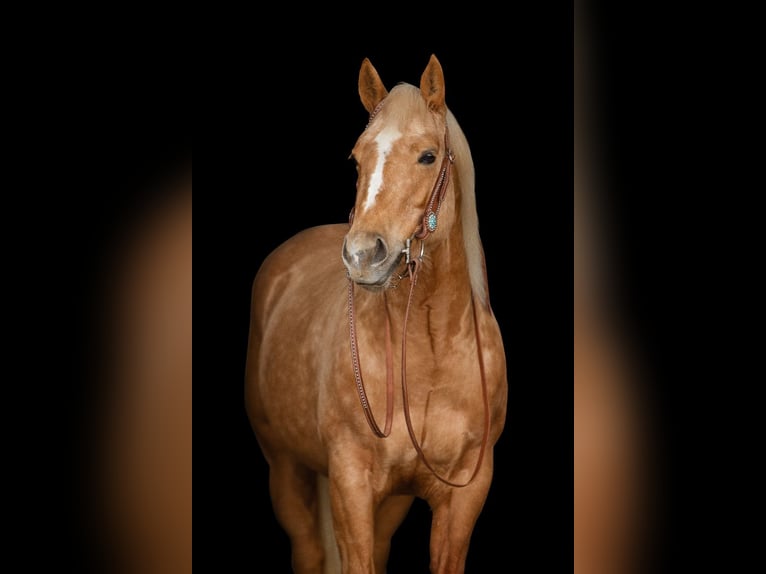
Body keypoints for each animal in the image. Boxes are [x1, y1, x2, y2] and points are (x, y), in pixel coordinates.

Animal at [245, 54, 508, 574]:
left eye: (428, 156)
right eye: (357, 158)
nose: (363, 255)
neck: (429, 356)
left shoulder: (464, 495)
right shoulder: (350, 485)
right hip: (286, 471)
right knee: (308, 550)